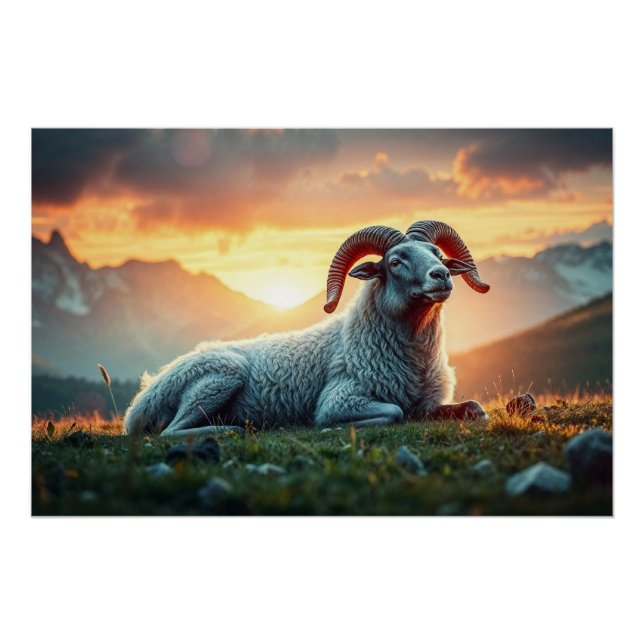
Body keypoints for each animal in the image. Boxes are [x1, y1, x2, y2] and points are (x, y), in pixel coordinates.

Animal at [124, 220, 491, 438]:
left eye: (438, 254)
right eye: (395, 261)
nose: (441, 276)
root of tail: (143, 397)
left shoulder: (427, 402)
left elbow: (475, 409)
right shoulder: (339, 399)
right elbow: (395, 412)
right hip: (221, 376)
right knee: (169, 432)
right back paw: (232, 428)